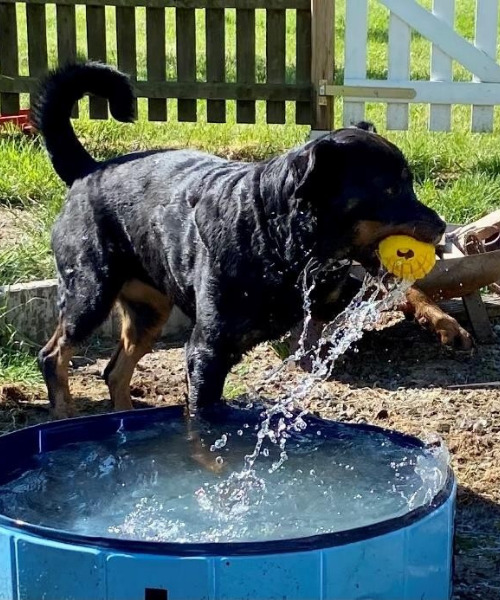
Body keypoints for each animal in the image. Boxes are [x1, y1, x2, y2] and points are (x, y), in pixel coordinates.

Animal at [32, 61, 446, 418]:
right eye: (390, 190)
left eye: (409, 183)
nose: (441, 226)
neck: (277, 239)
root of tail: (89, 170)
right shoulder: (207, 351)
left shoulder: (332, 295)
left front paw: (435, 317)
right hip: (90, 293)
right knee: (53, 356)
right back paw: (64, 416)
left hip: (148, 308)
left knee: (114, 371)